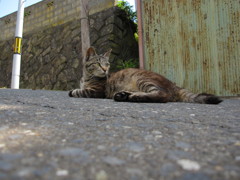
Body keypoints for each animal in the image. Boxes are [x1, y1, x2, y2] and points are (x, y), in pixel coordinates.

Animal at [68, 47, 222, 105]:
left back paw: (134, 97)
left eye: (108, 64)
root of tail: (174, 84)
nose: (105, 70)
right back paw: (124, 95)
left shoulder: (97, 92)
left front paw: (72, 91)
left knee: (162, 95)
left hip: (142, 79)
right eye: (99, 64)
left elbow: (78, 91)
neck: (86, 77)